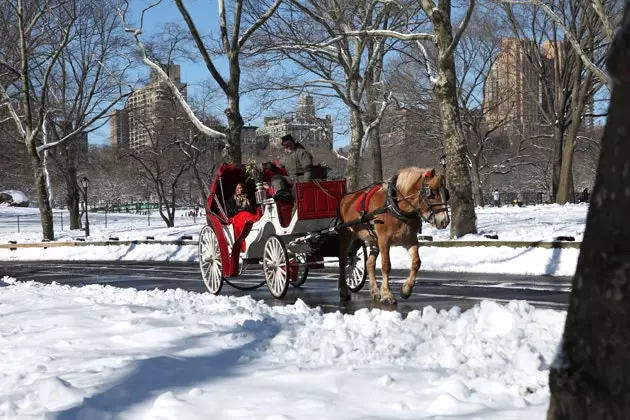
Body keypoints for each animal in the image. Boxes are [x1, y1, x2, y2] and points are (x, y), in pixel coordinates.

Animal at [338, 167, 452, 306]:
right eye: (432, 193)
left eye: (446, 193)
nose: (444, 221)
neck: (394, 206)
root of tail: (346, 197)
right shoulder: (384, 240)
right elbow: (386, 265)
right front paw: (387, 295)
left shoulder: (410, 240)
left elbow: (416, 262)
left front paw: (406, 290)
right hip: (348, 235)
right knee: (343, 261)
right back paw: (344, 290)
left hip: (373, 239)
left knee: (369, 263)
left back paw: (375, 292)